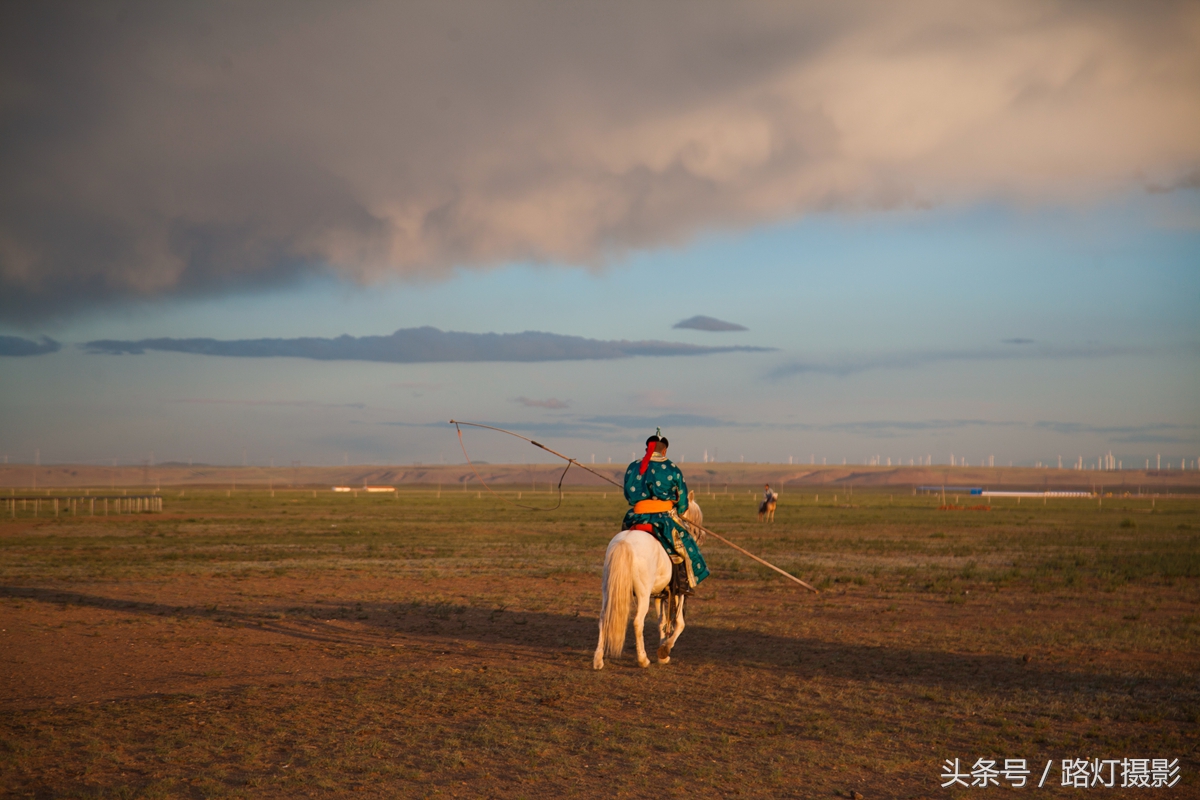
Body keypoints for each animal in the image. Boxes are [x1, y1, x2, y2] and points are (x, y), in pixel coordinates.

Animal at [592, 494, 700, 671]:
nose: (699, 534)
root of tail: (625, 542)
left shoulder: (659, 594)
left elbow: (662, 621)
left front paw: (663, 654)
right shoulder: (679, 593)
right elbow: (679, 623)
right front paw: (665, 650)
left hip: (608, 589)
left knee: (603, 618)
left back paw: (598, 660)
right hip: (643, 594)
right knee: (638, 622)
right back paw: (643, 659)